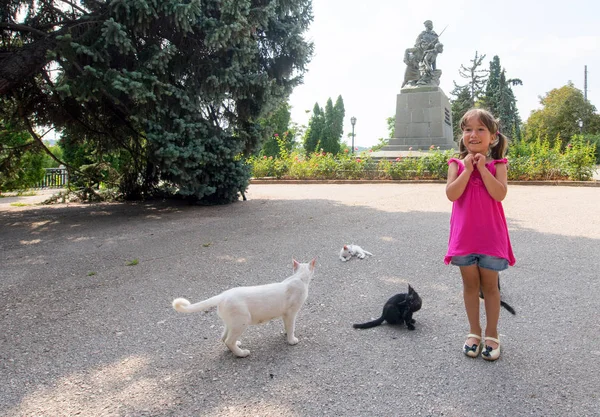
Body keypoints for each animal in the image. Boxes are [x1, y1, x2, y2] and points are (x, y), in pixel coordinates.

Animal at [171, 258, 316, 356]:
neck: (298, 278)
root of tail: (222, 295)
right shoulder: (291, 313)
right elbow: (291, 327)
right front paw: (291, 340)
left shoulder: (285, 315)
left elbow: (287, 326)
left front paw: (286, 333)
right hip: (242, 321)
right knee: (228, 340)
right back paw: (242, 353)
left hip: (232, 323)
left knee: (224, 338)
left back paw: (237, 346)